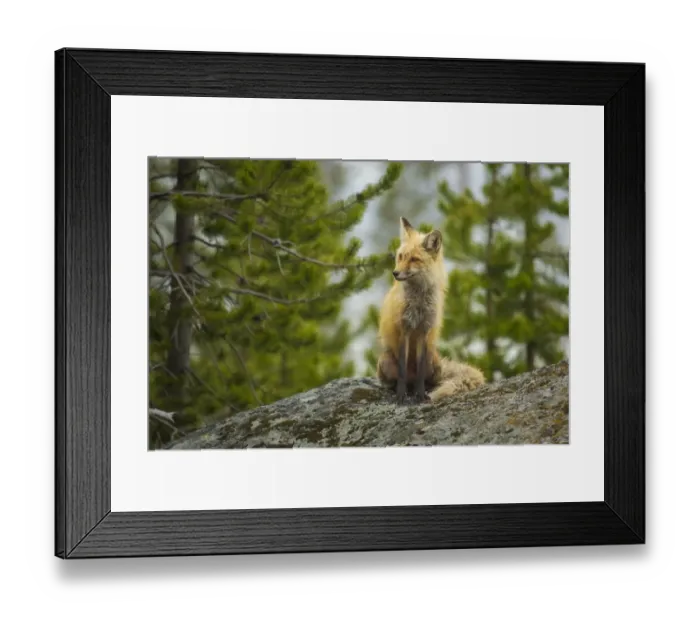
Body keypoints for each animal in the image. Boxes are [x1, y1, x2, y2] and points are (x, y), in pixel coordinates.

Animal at [376, 216, 485, 403]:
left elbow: (420, 373)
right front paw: (400, 395)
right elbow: (402, 371)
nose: (395, 273)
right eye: (401, 257)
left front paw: (420, 395)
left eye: (414, 259)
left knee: (429, 381)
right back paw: (399, 389)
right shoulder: (404, 329)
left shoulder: (424, 330)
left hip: (433, 363)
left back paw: (422, 390)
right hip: (384, 361)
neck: (419, 302)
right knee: (397, 379)